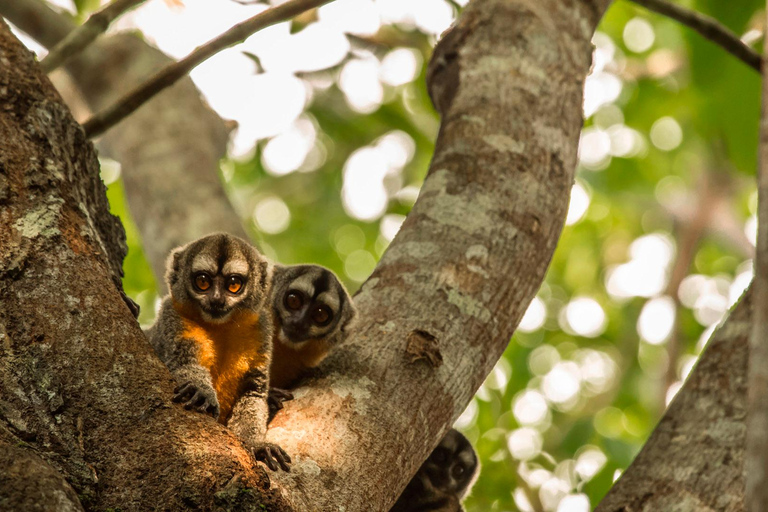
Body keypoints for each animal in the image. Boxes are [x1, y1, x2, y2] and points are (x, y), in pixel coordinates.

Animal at [146, 234, 290, 470]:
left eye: (233, 284)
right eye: (203, 281)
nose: (216, 300)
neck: (221, 326)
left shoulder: (261, 329)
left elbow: (253, 391)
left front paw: (258, 445)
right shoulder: (173, 316)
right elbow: (184, 363)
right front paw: (200, 390)